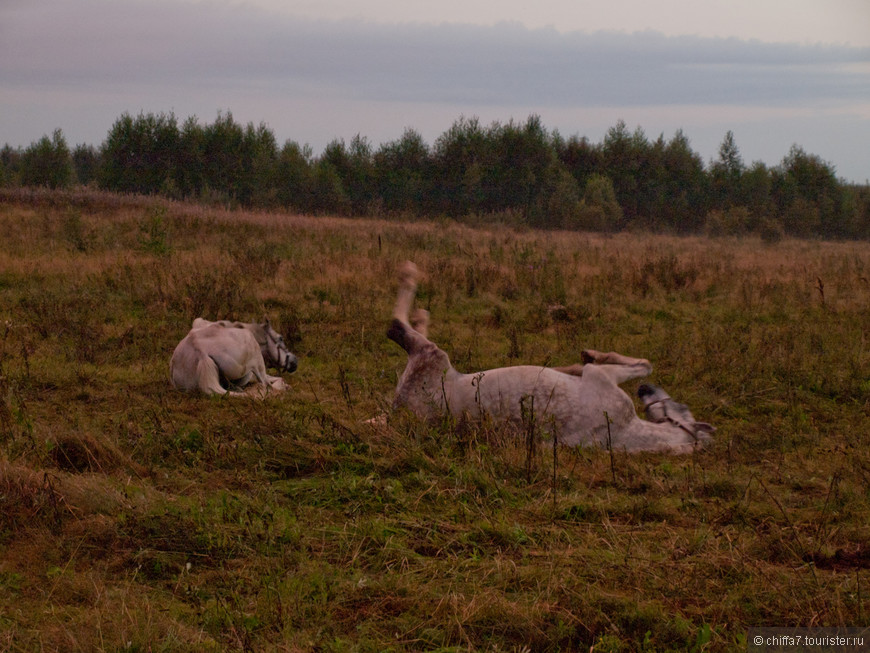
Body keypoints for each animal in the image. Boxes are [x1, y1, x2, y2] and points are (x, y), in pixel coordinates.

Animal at [170, 318, 300, 394]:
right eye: (280, 338)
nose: (294, 361)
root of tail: (200, 351)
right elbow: (277, 380)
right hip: (256, 357)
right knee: (266, 385)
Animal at [388, 262, 716, 450]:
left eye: (681, 406)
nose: (645, 391)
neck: (626, 431)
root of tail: (397, 411)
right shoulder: (602, 376)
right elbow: (640, 364)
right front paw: (583, 358)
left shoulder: (601, 377)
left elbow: (639, 365)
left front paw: (589, 354)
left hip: (431, 355)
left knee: (396, 328)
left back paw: (410, 281)